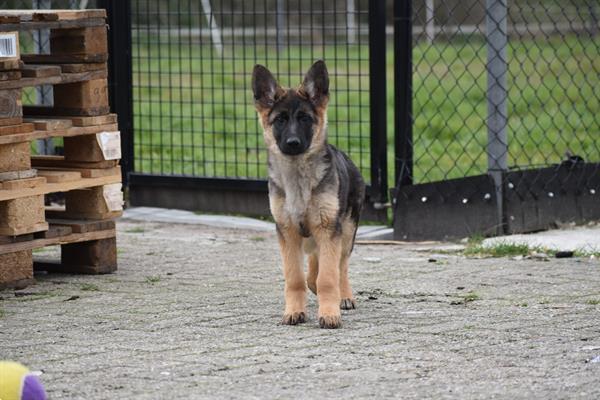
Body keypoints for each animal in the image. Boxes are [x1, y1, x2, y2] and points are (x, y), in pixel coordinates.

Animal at [251, 59, 364, 328]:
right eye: (280, 120)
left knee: (340, 266)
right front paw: (294, 311)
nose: (292, 143)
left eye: (304, 118)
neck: (299, 180)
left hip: (345, 232)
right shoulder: (288, 232)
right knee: (315, 263)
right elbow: (295, 278)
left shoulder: (328, 227)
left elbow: (329, 277)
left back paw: (344, 296)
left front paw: (329, 313)